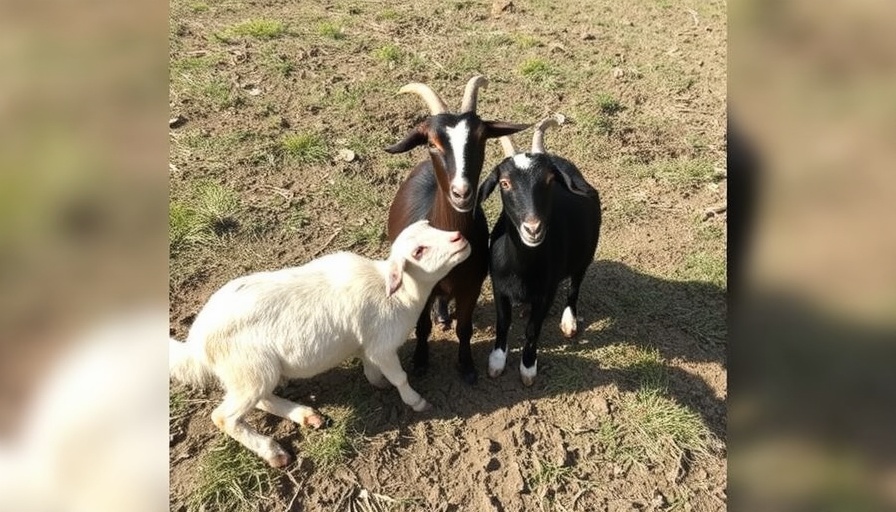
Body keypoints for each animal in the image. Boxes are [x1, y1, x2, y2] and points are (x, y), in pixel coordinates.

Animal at [169, 220, 471, 467]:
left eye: (431, 225)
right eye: (418, 251)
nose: (458, 237)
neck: (401, 296)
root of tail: (196, 342)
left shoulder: (369, 346)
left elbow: (371, 370)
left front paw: (379, 383)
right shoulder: (383, 346)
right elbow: (400, 377)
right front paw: (416, 402)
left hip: (253, 372)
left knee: (261, 399)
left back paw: (306, 415)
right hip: (250, 368)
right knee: (224, 416)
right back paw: (274, 452)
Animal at [385, 76, 529, 384]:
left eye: (482, 138)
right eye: (432, 142)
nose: (461, 193)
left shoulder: (471, 285)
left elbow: (465, 328)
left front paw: (467, 366)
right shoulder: (421, 288)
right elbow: (422, 328)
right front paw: (420, 362)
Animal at [478, 115, 602, 386]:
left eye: (549, 181)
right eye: (504, 183)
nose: (533, 229)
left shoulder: (547, 292)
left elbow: (533, 329)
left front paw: (528, 368)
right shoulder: (498, 286)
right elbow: (503, 322)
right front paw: (496, 361)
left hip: (585, 256)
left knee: (575, 287)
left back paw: (569, 321)